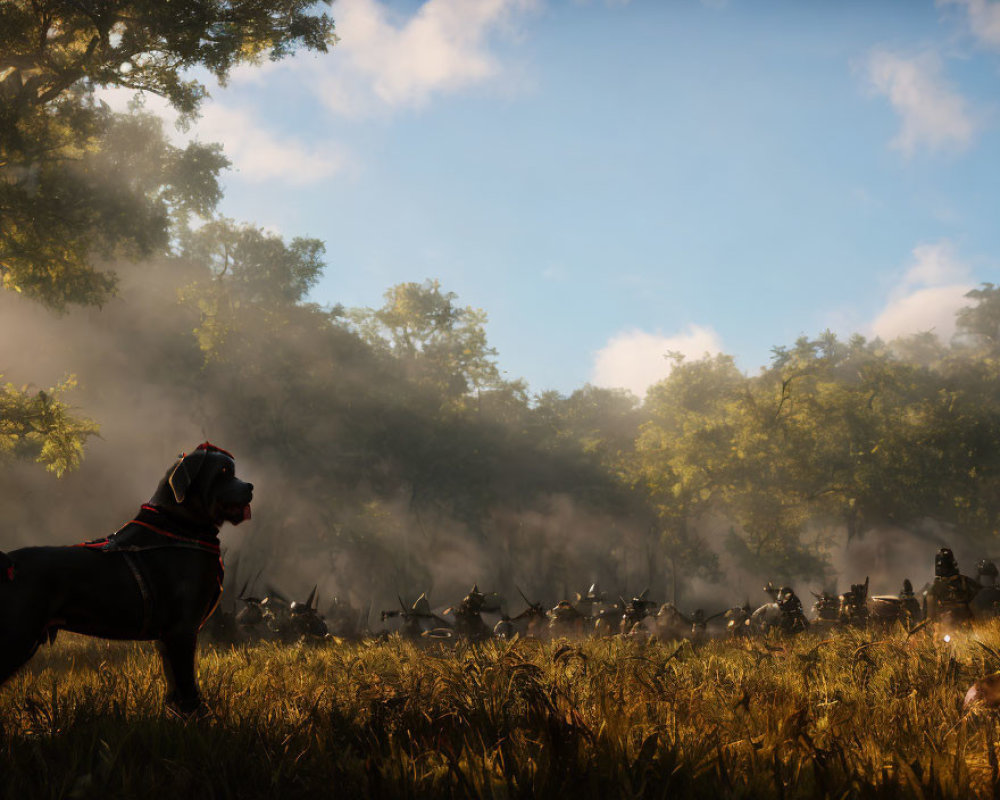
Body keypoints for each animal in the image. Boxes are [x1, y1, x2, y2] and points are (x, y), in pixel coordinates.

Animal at [0, 444, 254, 712]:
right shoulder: (182, 630)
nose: (250, 487)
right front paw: (198, 716)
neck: (179, 526)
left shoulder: (167, 637)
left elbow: (174, 685)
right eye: (223, 472)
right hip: (16, 636)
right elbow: (187, 685)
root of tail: (8, 561)